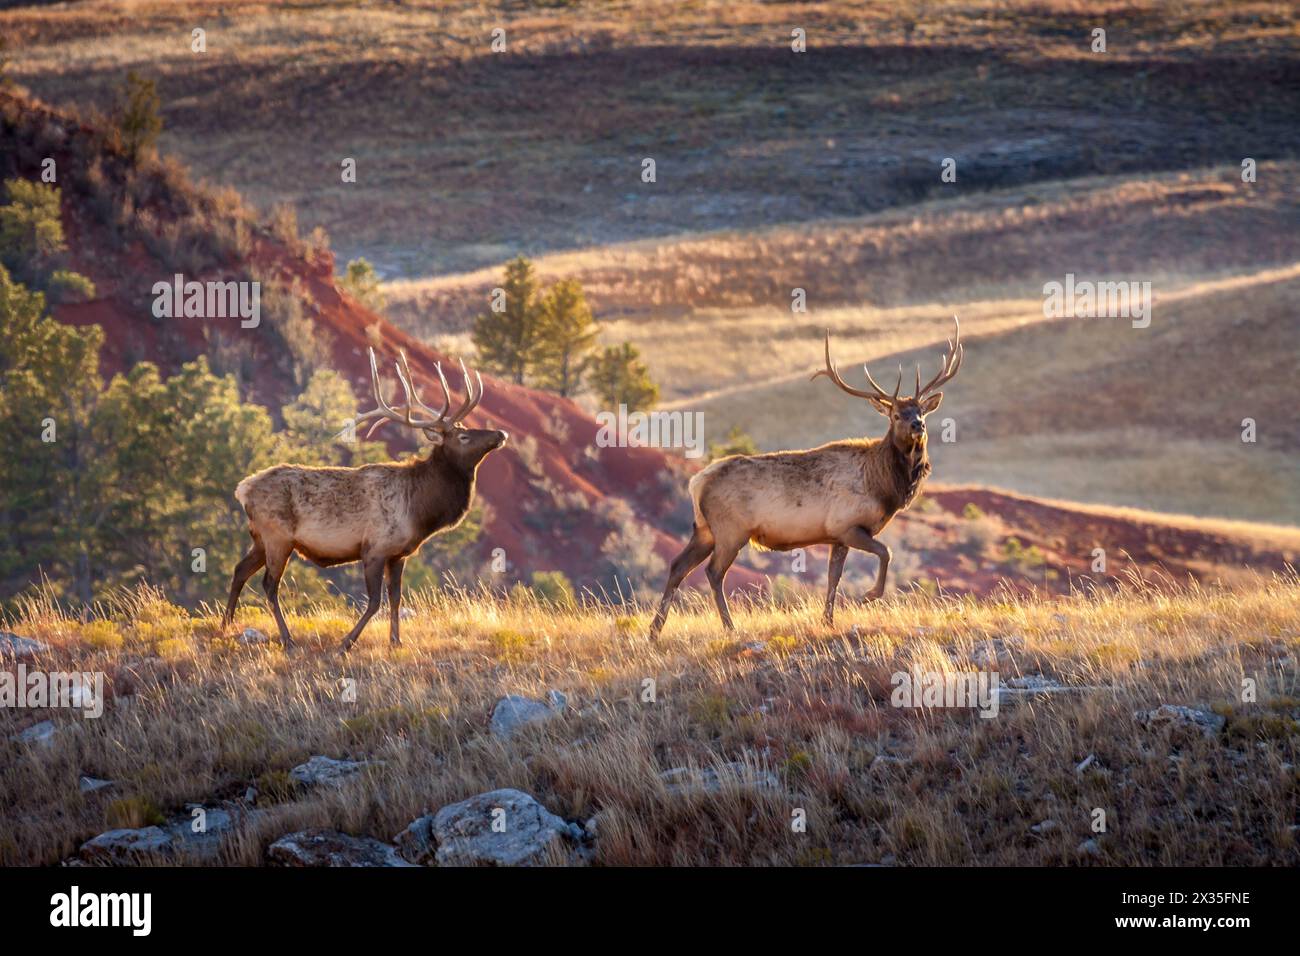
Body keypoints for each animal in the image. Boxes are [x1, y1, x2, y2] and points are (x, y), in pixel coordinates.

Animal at [220, 348, 509, 655]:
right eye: (464, 436)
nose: (501, 433)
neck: (420, 511)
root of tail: (243, 489)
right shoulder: (374, 548)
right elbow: (374, 602)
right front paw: (346, 643)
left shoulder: (399, 554)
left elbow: (396, 598)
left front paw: (396, 641)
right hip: (278, 537)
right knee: (270, 585)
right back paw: (287, 639)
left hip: (261, 539)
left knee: (240, 570)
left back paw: (226, 624)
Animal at [650, 317, 967, 639]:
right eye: (896, 415)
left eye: (920, 410)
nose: (918, 425)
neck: (884, 487)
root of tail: (696, 482)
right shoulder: (848, 524)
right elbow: (886, 552)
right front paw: (869, 595)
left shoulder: (837, 536)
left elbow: (833, 577)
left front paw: (828, 620)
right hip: (731, 530)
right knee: (713, 572)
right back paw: (729, 626)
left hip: (704, 529)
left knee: (678, 566)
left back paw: (655, 630)